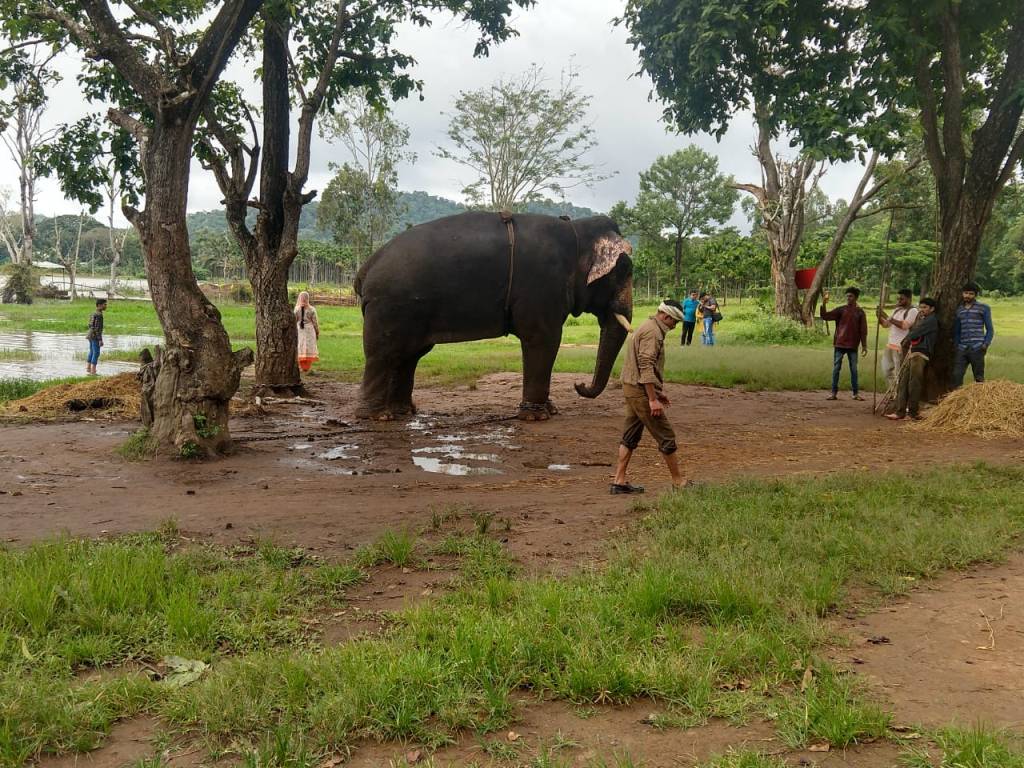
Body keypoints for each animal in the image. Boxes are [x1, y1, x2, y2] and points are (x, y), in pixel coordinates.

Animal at [353, 211, 634, 420]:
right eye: (623, 271)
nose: (579, 385)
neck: (576, 229)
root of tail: (365, 269)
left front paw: (550, 410)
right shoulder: (541, 286)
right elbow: (544, 339)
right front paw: (538, 416)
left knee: (408, 356)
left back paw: (402, 413)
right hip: (389, 307)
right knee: (384, 354)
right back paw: (376, 417)